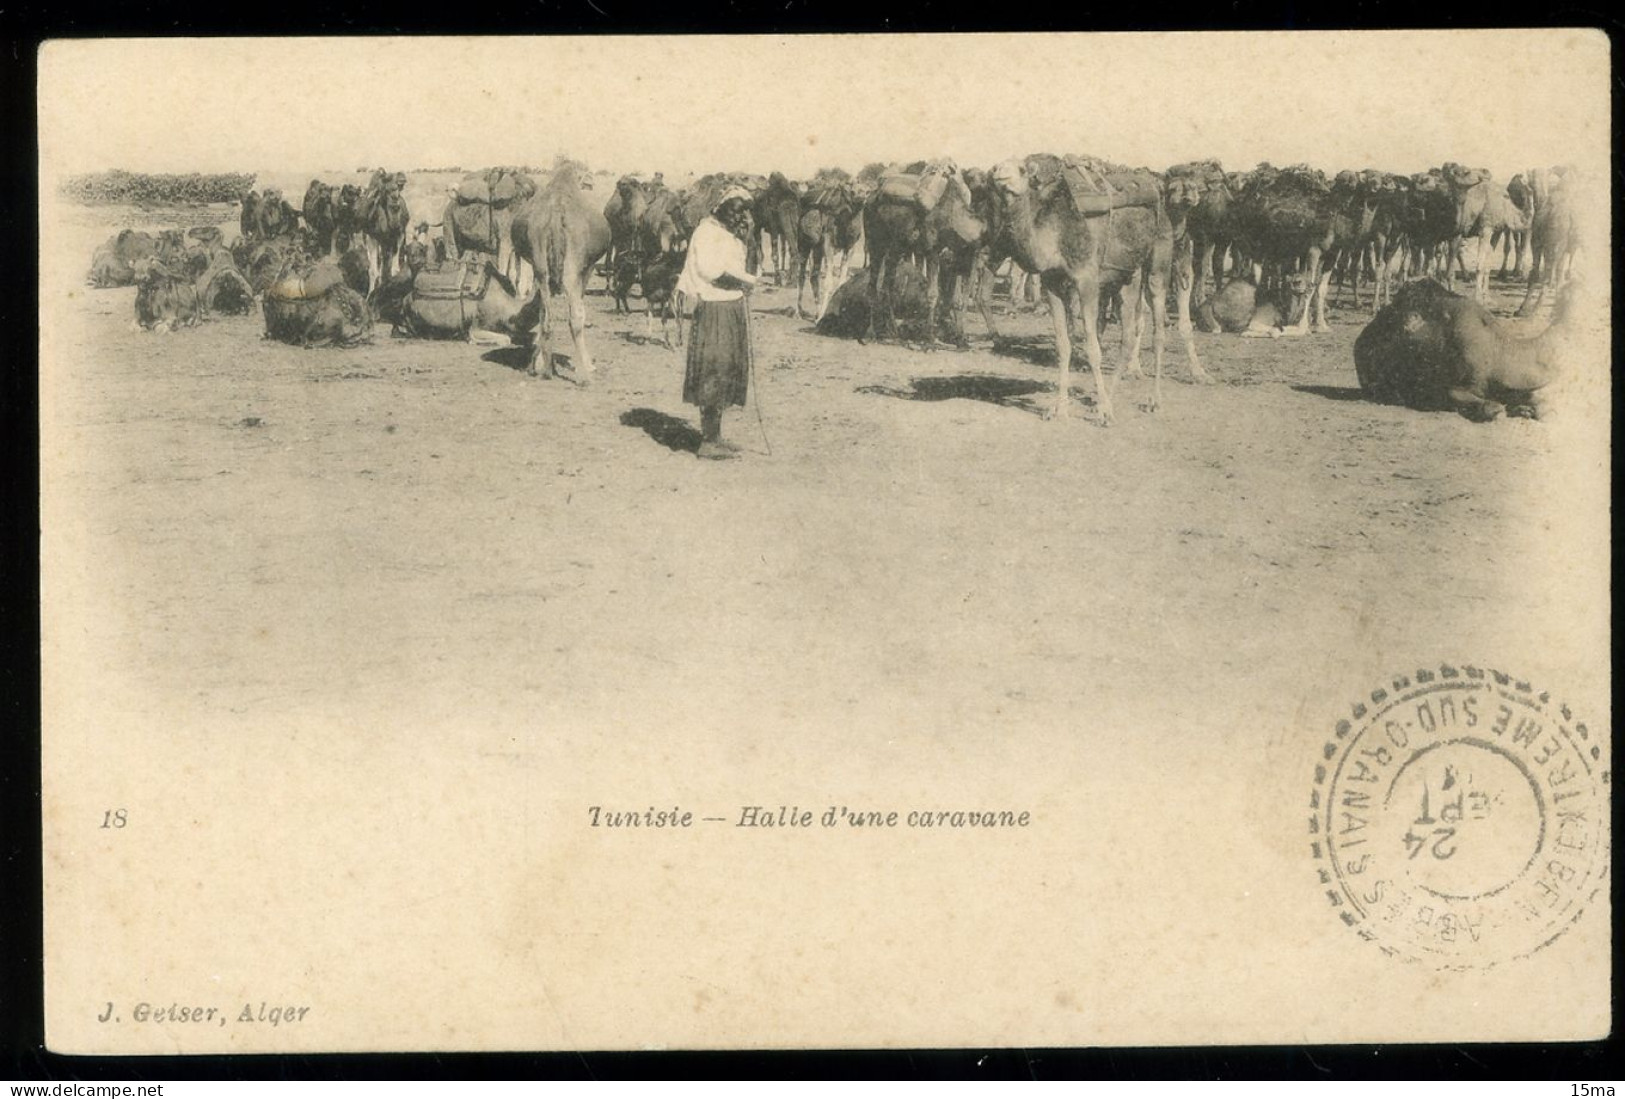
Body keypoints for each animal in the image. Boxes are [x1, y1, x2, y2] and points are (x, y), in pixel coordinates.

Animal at [507, 160, 611, 383]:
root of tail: (556, 212)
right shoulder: (586, 269)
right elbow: (581, 310)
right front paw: (588, 365)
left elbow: (541, 311)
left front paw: (537, 363)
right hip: (572, 269)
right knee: (575, 317)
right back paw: (583, 374)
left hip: (540, 263)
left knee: (546, 317)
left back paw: (544, 369)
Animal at [975, 154, 1209, 425]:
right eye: (996, 167)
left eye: (1022, 170)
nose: (999, 173)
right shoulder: (1052, 283)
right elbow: (1063, 346)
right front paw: (1060, 409)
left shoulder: (1087, 279)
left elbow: (1093, 348)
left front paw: (1104, 412)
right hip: (1125, 275)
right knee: (1128, 335)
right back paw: (1105, 400)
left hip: (1159, 259)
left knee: (1157, 330)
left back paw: (1152, 400)